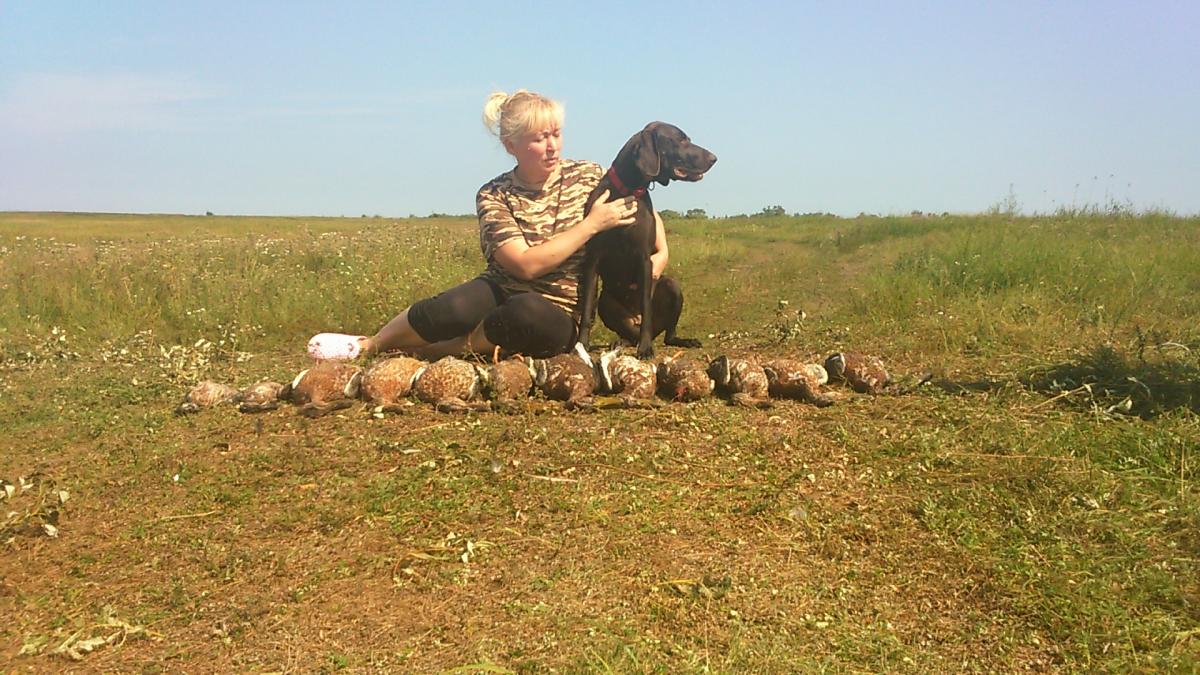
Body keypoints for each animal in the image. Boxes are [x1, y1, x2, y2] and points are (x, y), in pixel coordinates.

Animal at [575, 122, 717, 359]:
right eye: (681, 140)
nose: (714, 158)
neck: (628, 192)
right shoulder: (593, 260)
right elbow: (587, 310)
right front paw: (581, 344)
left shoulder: (644, 259)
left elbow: (645, 305)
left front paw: (645, 348)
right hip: (606, 302)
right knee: (626, 332)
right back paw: (620, 342)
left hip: (672, 286)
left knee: (667, 334)